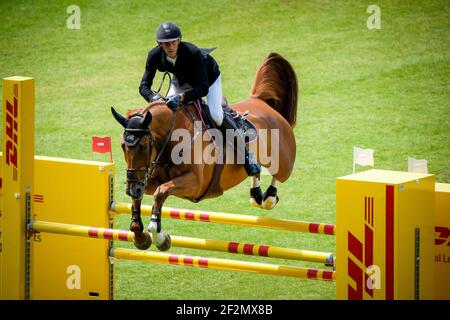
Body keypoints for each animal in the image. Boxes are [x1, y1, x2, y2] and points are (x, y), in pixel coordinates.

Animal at [110, 52, 298, 250]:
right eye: (122, 145)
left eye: (144, 146)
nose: (132, 189)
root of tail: (260, 101)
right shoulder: (148, 178)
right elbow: (143, 200)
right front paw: (141, 237)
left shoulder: (195, 183)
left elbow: (160, 192)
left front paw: (159, 236)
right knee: (257, 173)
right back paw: (256, 194)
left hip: (284, 161)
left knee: (278, 174)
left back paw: (269, 197)